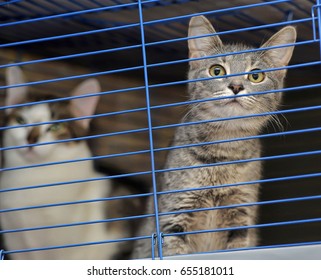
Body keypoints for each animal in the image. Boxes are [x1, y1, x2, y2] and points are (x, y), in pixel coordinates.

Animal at [131, 16, 296, 258]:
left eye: (256, 75)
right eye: (217, 71)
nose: (236, 86)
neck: (223, 151)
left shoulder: (241, 216)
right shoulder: (175, 215)